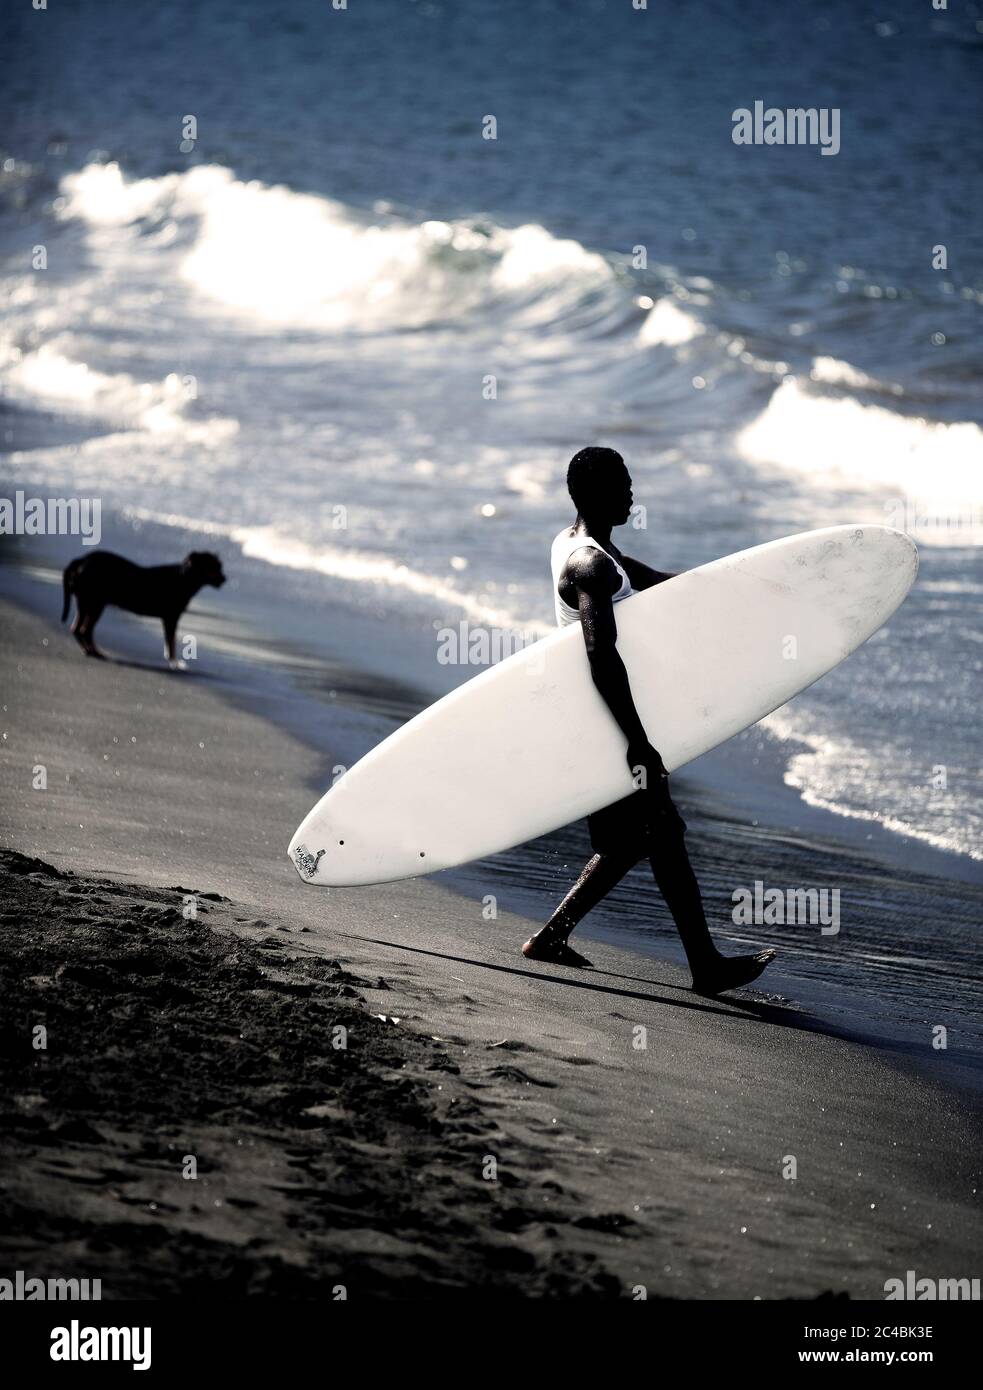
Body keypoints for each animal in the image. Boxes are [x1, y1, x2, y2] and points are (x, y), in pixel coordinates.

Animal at [62, 547, 228, 667]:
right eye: (212, 567)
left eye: (219, 566)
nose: (224, 579)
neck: (184, 578)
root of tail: (82, 560)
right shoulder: (171, 618)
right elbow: (171, 642)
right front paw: (174, 662)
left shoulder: (169, 619)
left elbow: (170, 641)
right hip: (94, 603)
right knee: (83, 630)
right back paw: (93, 652)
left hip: (86, 602)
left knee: (79, 629)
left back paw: (91, 651)